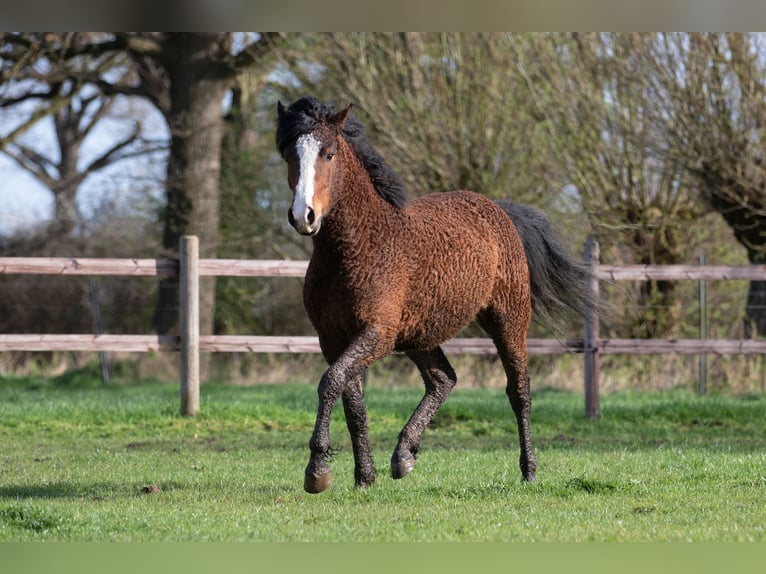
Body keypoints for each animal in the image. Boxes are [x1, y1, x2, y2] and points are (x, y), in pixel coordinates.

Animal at [276, 97, 592, 492]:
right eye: (288, 154)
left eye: (329, 153)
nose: (303, 216)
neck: (357, 247)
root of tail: (498, 209)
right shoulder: (333, 338)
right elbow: (353, 403)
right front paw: (364, 477)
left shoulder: (377, 334)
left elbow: (330, 382)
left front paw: (318, 469)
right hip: (419, 334)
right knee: (444, 379)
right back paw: (403, 455)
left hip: (508, 321)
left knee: (519, 393)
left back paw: (529, 470)